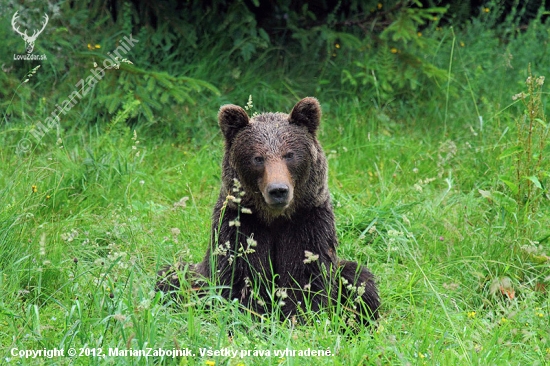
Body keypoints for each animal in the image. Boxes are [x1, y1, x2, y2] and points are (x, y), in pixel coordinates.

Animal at [160, 97, 382, 324]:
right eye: (258, 158)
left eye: (289, 155)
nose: (278, 190)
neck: (275, 218)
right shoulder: (241, 224)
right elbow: (242, 276)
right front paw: (251, 317)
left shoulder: (307, 222)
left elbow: (306, 276)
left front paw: (300, 317)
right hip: (197, 276)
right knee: (172, 278)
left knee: (358, 279)